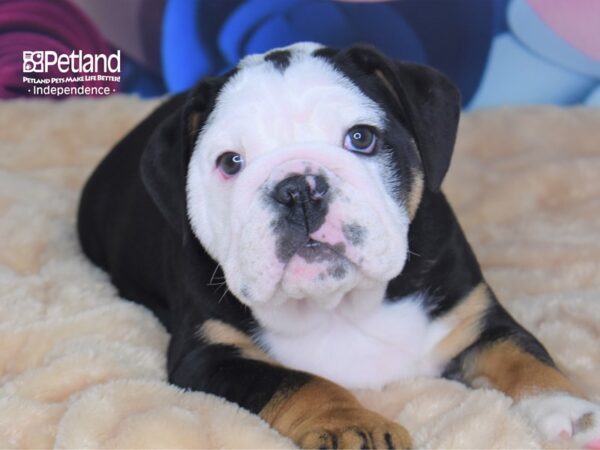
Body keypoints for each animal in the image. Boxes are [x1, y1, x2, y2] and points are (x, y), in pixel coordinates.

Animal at [78, 43, 600, 450]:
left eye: (362, 137)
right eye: (230, 163)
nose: (297, 190)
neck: (338, 304)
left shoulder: (471, 315)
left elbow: (521, 354)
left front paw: (569, 411)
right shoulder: (211, 355)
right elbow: (300, 381)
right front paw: (353, 425)